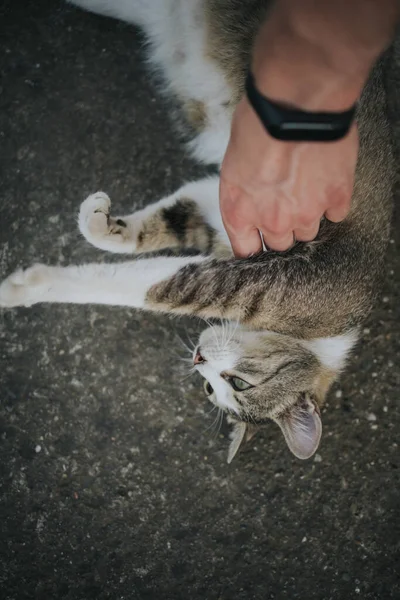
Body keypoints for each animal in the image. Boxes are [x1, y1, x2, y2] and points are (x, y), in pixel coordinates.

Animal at [0, 0, 394, 462]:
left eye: (218, 388)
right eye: (234, 384)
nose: (198, 360)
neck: (318, 336)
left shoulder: (225, 213)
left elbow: (154, 246)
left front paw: (60, 259)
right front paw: (92, 221)